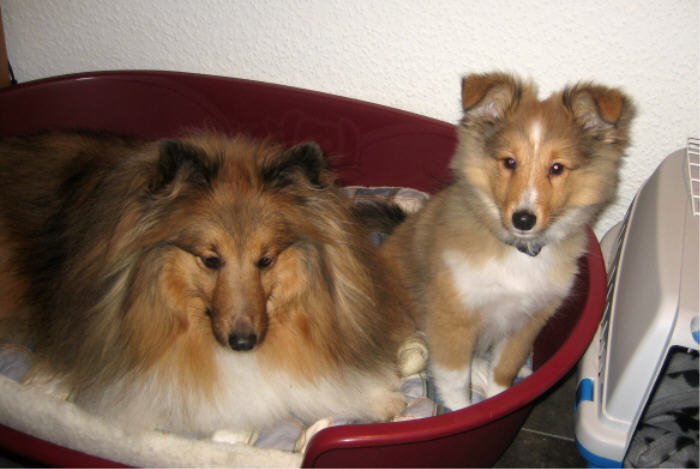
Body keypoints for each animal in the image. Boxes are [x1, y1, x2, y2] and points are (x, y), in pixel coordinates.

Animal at [381, 72, 634, 410]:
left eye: (557, 167)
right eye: (509, 162)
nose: (523, 220)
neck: (517, 252)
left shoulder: (528, 321)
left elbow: (505, 369)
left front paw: (496, 400)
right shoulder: (453, 318)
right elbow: (455, 380)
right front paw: (464, 413)